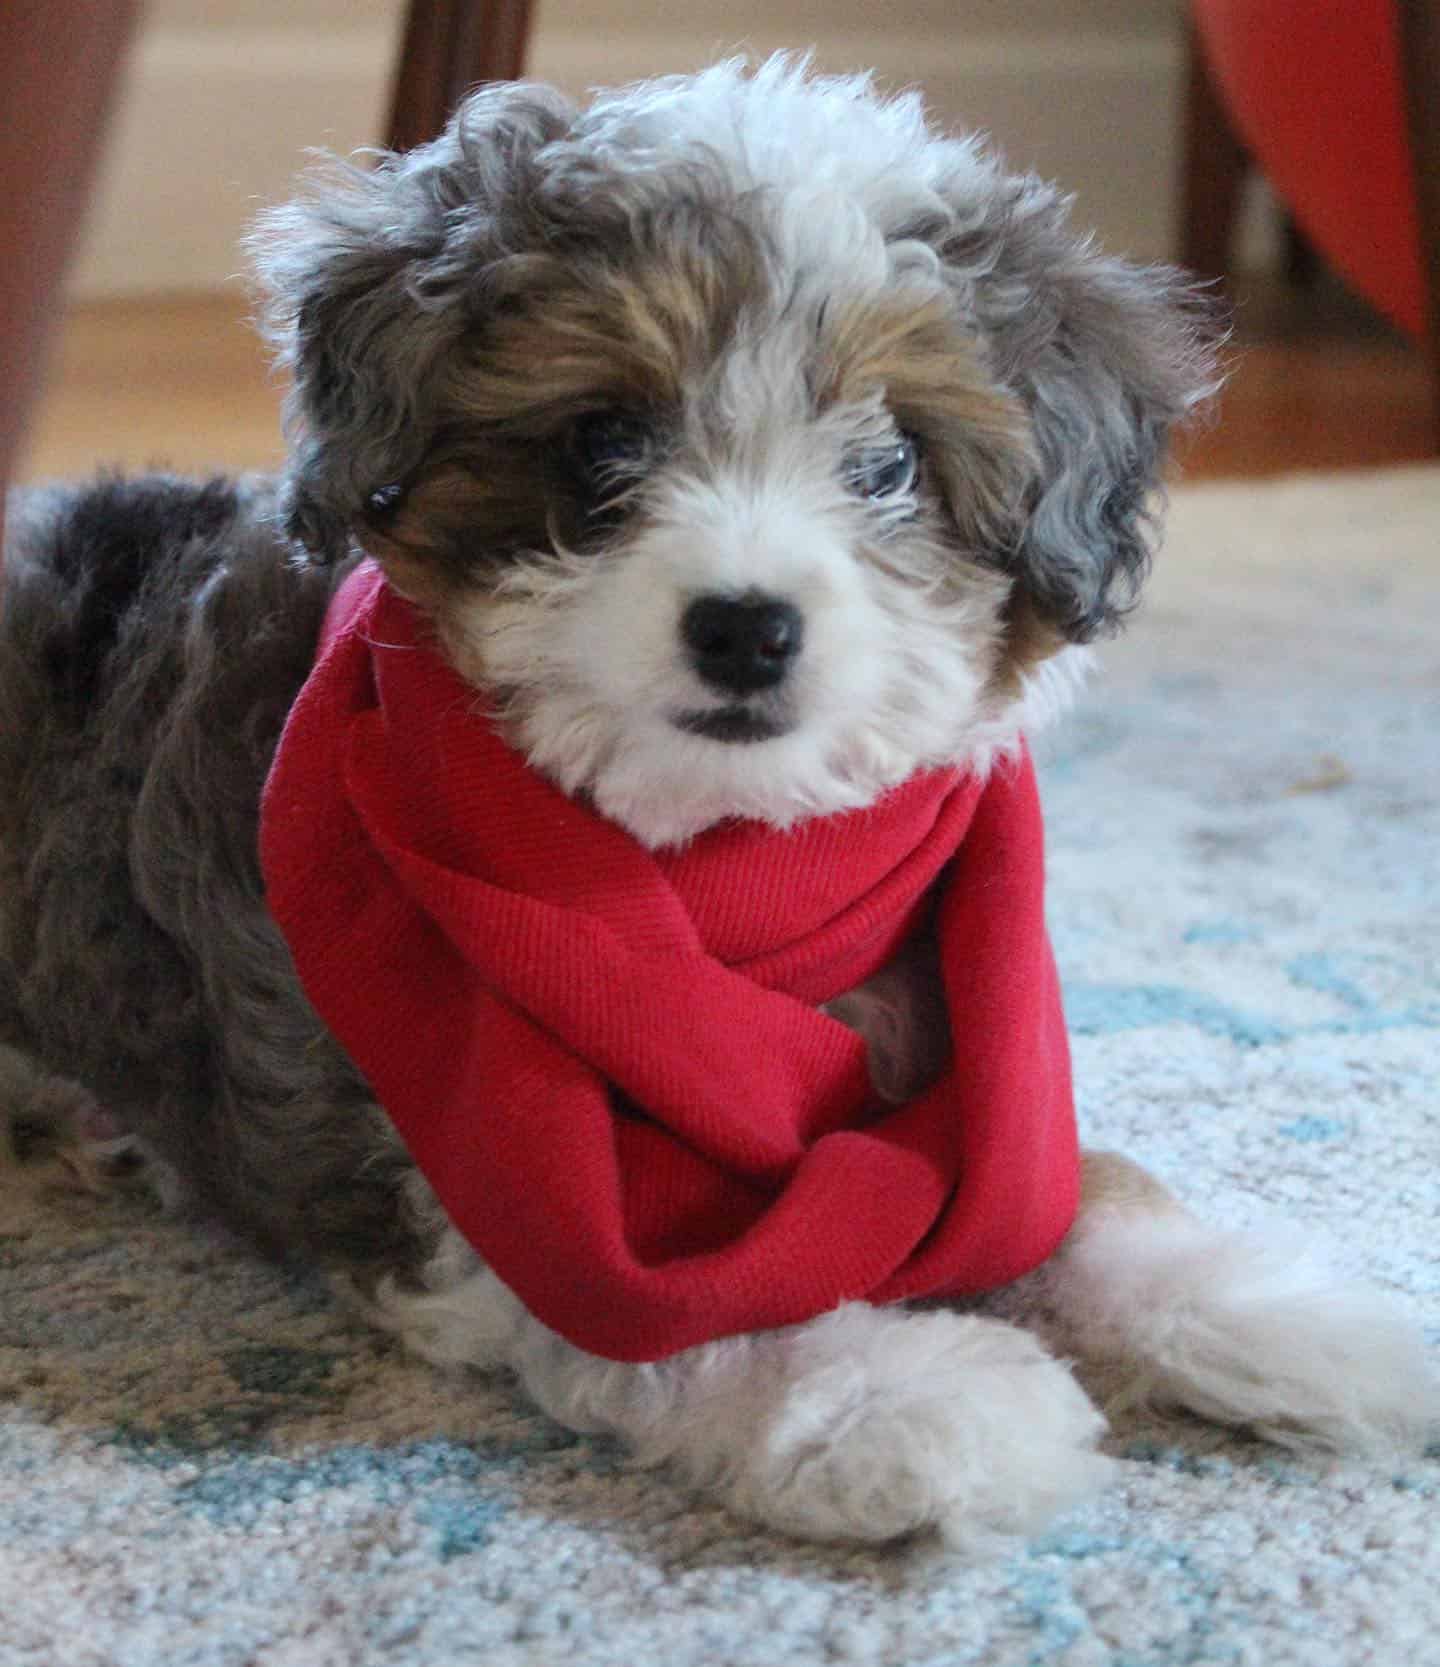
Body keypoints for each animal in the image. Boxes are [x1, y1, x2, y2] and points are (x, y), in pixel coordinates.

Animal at [0, 65, 1433, 1546]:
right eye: (601, 439)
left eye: (888, 463)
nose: (746, 627)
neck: (718, 874)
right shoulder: (398, 1154)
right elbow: (651, 1298)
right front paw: (898, 1388)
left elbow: (1079, 1188)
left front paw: (1274, 1305)